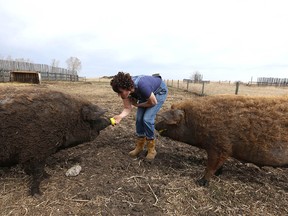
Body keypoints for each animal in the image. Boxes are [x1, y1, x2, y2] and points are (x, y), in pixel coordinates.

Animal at [155, 95, 288, 186]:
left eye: (165, 120)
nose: (155, 124)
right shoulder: (222, 148)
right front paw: (219, 174)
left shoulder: (219, 146)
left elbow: (211, 165)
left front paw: (201, 182)